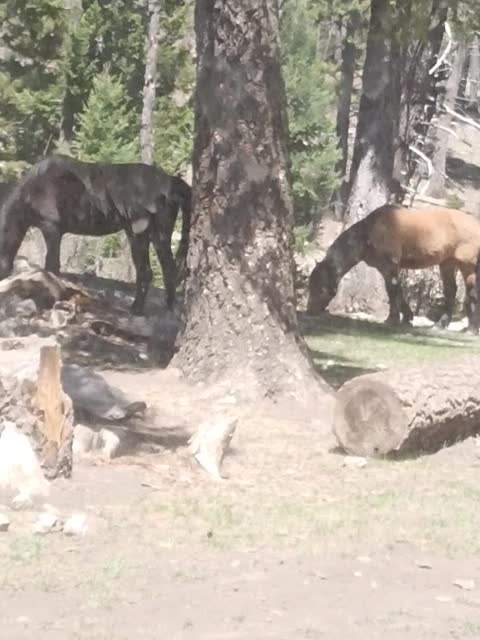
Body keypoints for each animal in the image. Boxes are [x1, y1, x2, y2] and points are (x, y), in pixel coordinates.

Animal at [0, 154, 191, 315]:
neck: (32, 191)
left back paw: (149, 310)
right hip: (150, 234)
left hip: (146, 233)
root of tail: (170, 180)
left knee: (155, 271)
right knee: (160, 270)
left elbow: (51, 266)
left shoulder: (51, 229)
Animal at [307, 204, 480, 332]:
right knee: (451, 291)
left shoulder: (390, 265)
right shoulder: (385, 268)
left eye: (321, 289)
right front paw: (407, 317)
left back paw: (471, 329)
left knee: (471, 292)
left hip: (467, 265)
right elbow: (397, 291)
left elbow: (392, 291)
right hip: (447, 263)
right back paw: (441, 324)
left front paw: (393, 319)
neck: (370, 232)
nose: (310, 311)